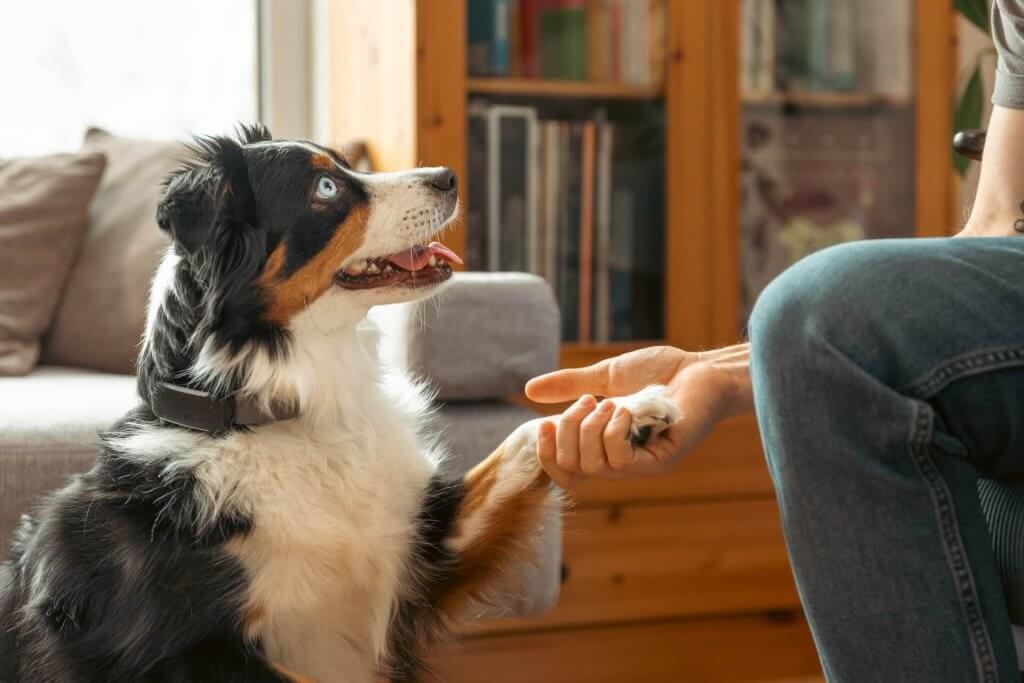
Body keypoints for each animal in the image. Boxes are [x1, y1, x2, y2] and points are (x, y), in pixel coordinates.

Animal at [0, 125, 679, 679]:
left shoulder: (423, 546)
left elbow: (520, 440)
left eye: (347, 165)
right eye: (326, 187)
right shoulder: (181, 653)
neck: (291, 418)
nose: (449, 176)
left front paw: (626, 408)